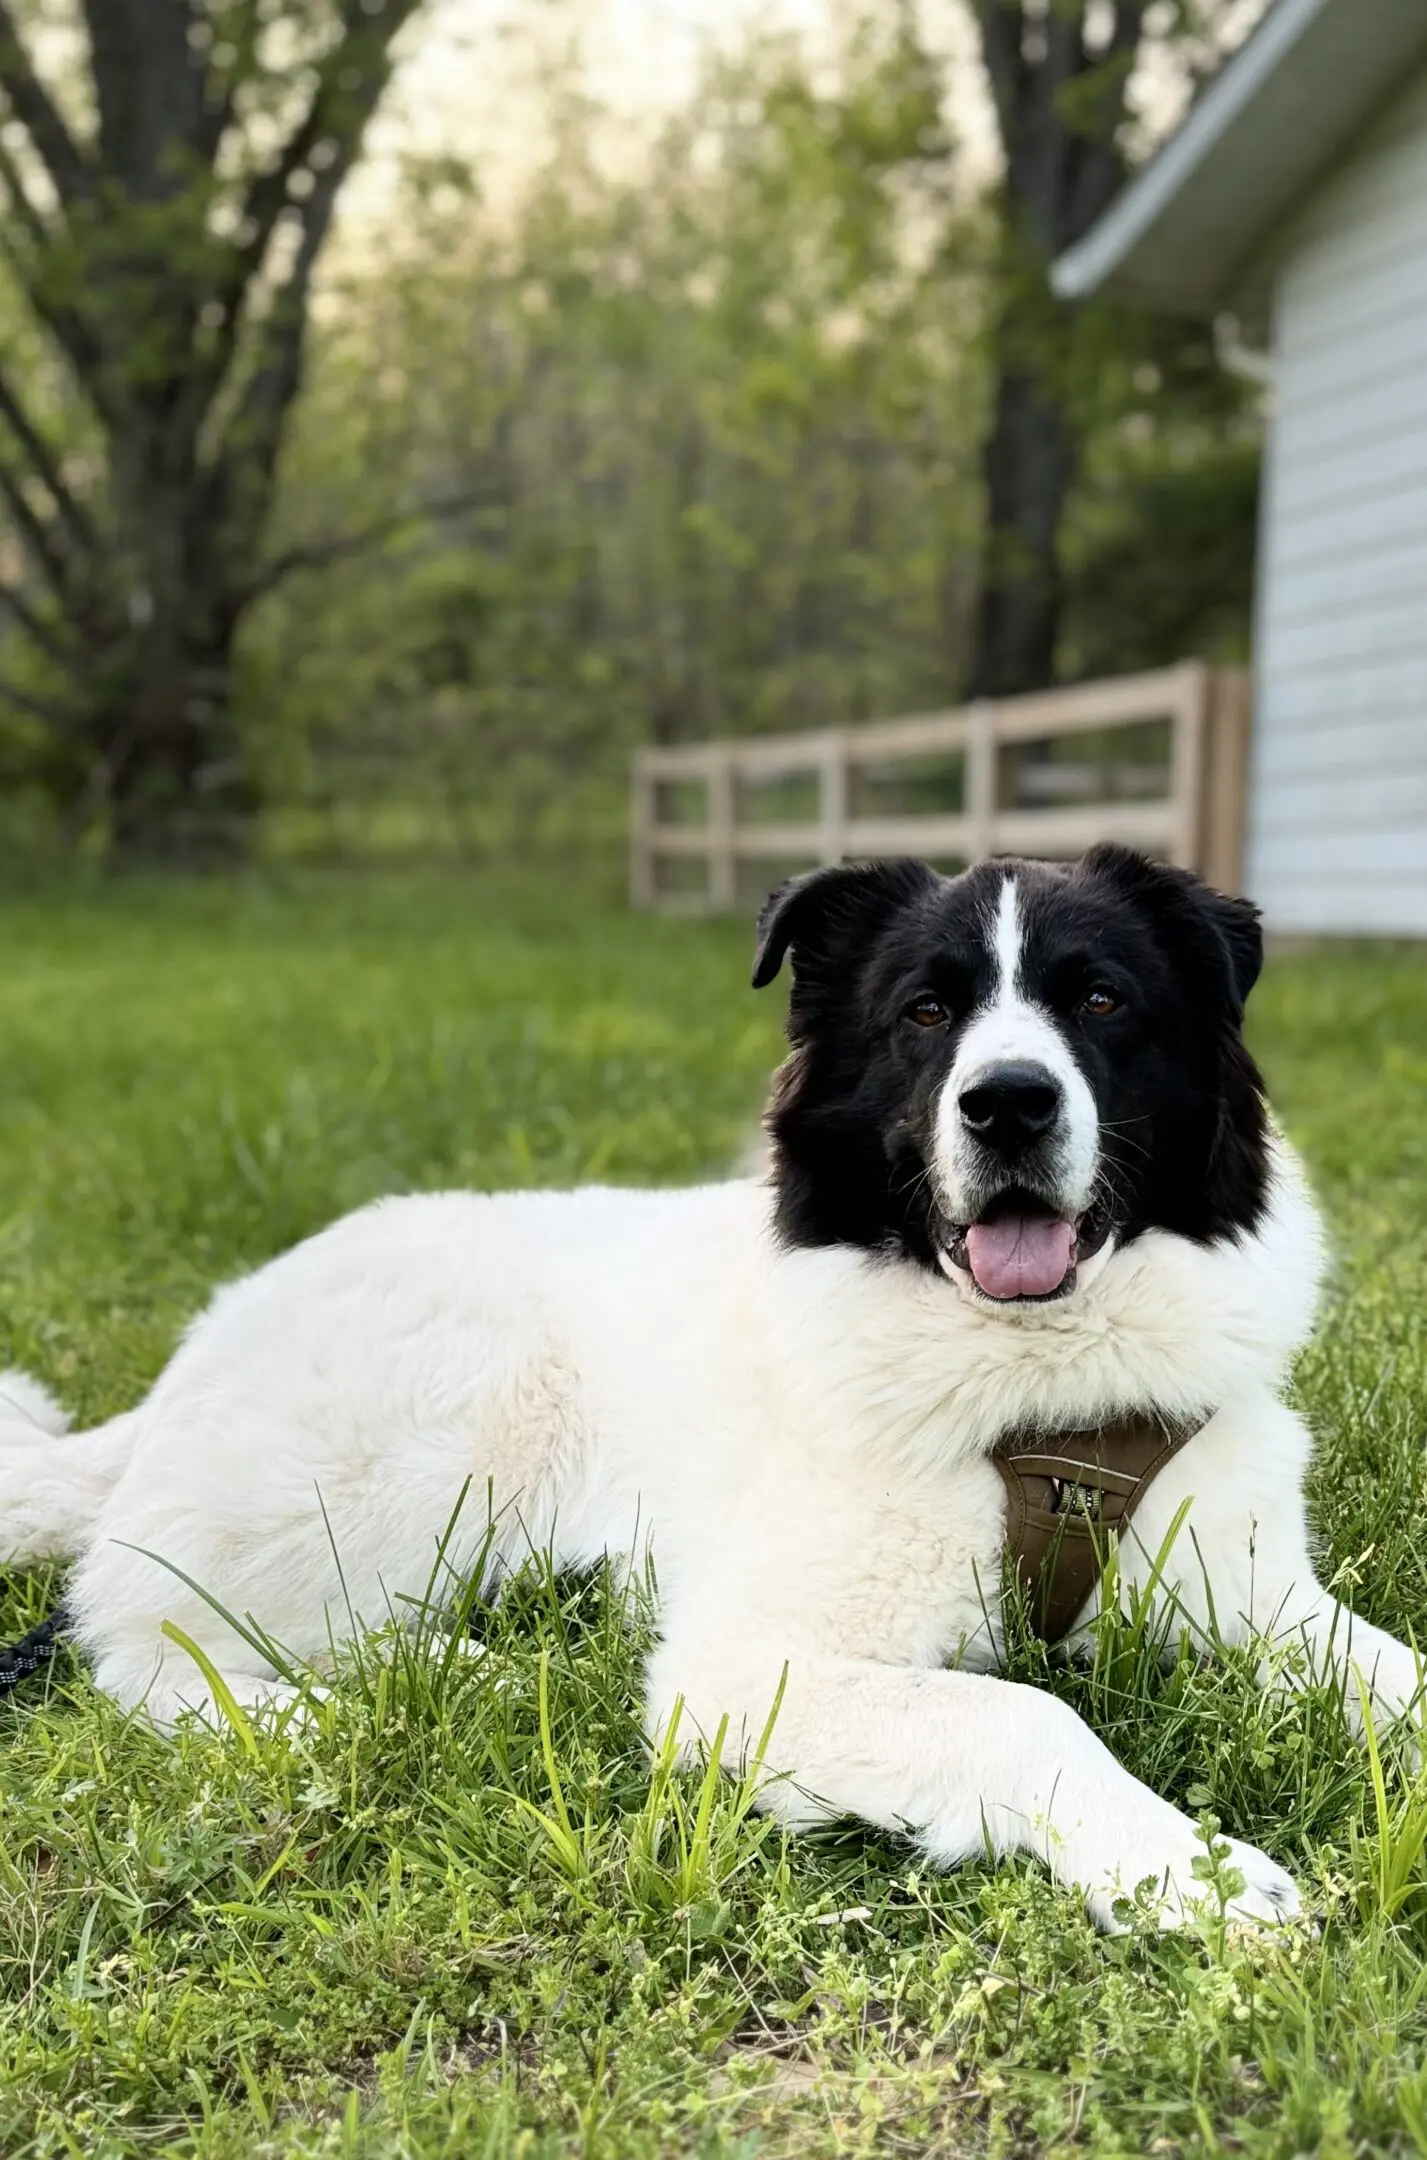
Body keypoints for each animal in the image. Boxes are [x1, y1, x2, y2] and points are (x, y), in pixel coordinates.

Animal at [0, 842, 1416, 1926]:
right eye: (923, 1013)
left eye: (1102, 1001)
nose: (1007, 1103)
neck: (1032, 1396)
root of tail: (206, 1340)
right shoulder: (744, 1672)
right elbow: (1022, 1714)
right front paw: (1190, 1873)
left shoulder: (1256, 1597)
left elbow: (1393, 1674)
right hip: (436, 1440)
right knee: (142, 1633)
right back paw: (342, 1714)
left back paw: (471, 1672)